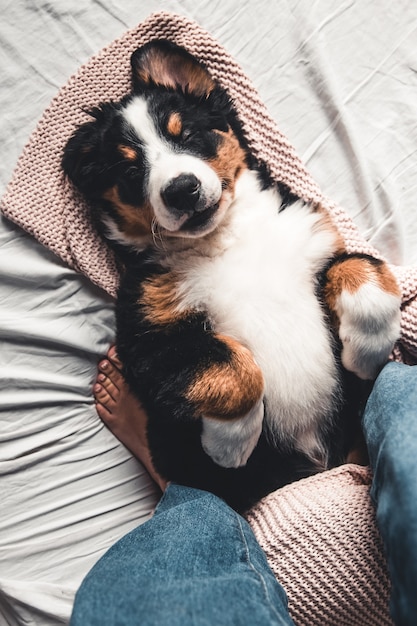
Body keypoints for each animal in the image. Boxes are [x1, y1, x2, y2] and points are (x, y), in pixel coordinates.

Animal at [61, 40, 400, 512]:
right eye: (130, 172)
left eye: (188, 135)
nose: (181, 190)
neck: (227, 236)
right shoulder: (148, 333)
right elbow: (232, 365)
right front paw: (231, 443)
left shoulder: (317, 242)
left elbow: (362, 267)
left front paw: (368, 350)